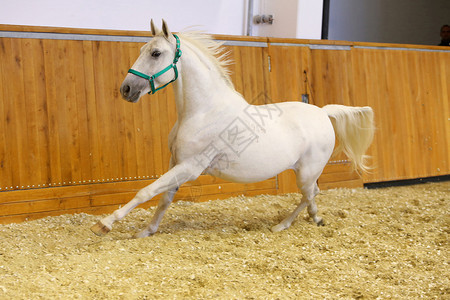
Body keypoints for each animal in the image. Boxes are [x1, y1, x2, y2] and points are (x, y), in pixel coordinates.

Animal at [89, 19, 374, 238]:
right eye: (142, 49)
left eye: (156, 53)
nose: (126, 89)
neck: (202, 112)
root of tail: (323, 112)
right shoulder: (175, 162)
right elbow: (164, 198)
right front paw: (147, 231)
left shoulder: (190, 167)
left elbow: (145, 191)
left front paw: (103, 224)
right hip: (305, 171)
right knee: (312, 194)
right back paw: (300, 221)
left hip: (307, 171)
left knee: (310, 194)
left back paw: (291, 223)